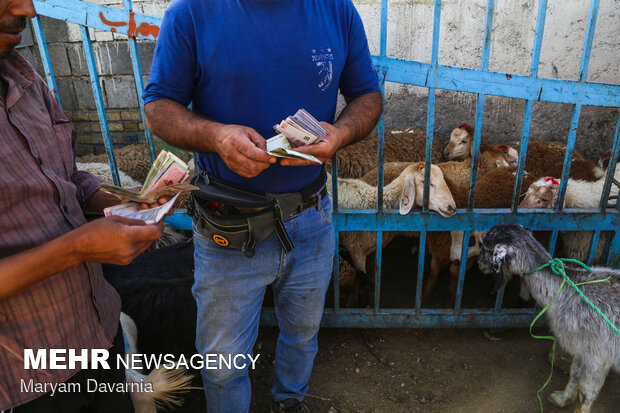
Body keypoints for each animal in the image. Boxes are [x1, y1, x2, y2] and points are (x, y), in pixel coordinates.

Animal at [478, 224, 616, 412]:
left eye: (485, 247)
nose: (479, 265)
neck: (568, 289)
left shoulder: (598, 356)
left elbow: (587, 394)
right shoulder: (580, 348)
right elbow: (574, 374)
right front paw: (561, 399)